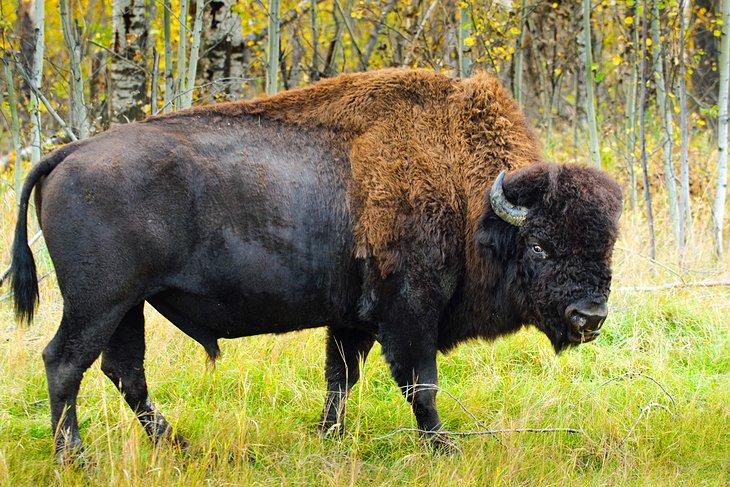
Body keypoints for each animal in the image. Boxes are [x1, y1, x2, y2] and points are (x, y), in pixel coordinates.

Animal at [7, 69, 622, 459]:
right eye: (539, 246)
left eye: (606, 247)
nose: (590, 317)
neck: (467, 198)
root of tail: (68, 154)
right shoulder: (408, 314)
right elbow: (420, 385)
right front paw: (442, 448)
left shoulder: (352, 319)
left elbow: (340, 378)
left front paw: (329, 437)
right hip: (98, 302)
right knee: (65, 363)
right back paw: (75, 458)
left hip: (127, 306)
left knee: (124, 371)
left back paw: (176, 445)